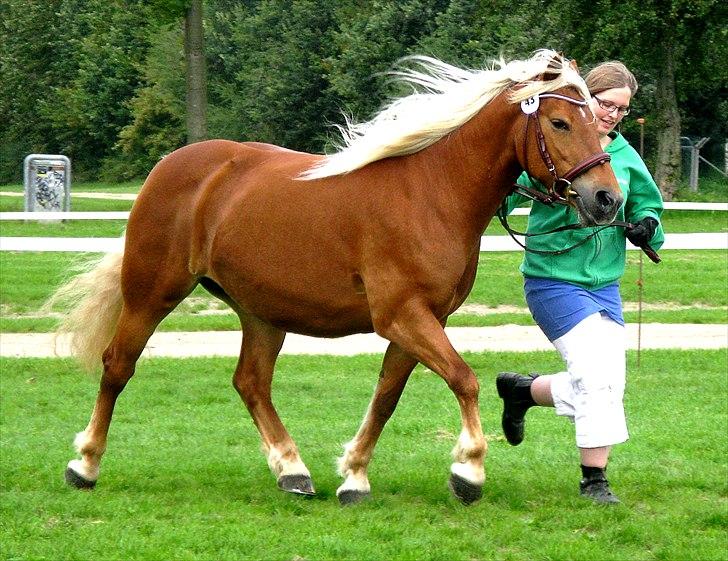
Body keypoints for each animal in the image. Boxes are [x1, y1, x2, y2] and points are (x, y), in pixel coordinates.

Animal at [52, 49, 620, 504]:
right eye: (561, 123)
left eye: (597, 119)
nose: (607, 199)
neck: (432, 192)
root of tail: (171, 165)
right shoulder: (403, 316)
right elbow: (464, 379)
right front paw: (469, 470)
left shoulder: (419, 322)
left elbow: (386, 398)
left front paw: (355, 476)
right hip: (152, 294)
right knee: (117, 366)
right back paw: (85, 464)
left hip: (262, 313)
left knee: (251, 383)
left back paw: (292, 471)